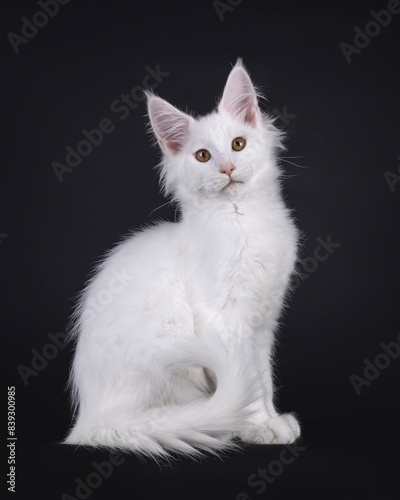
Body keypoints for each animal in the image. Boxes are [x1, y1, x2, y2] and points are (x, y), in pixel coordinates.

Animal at [65, 58, 300, 458]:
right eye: (203, 156)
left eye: (238, 145)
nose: (227, 168)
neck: (243, 220)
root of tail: (89, 421)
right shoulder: (226, 318)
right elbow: (250, 381)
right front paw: (257, 426)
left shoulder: (263, 322)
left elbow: (264, 378)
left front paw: (271, 420)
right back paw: (216, 427)